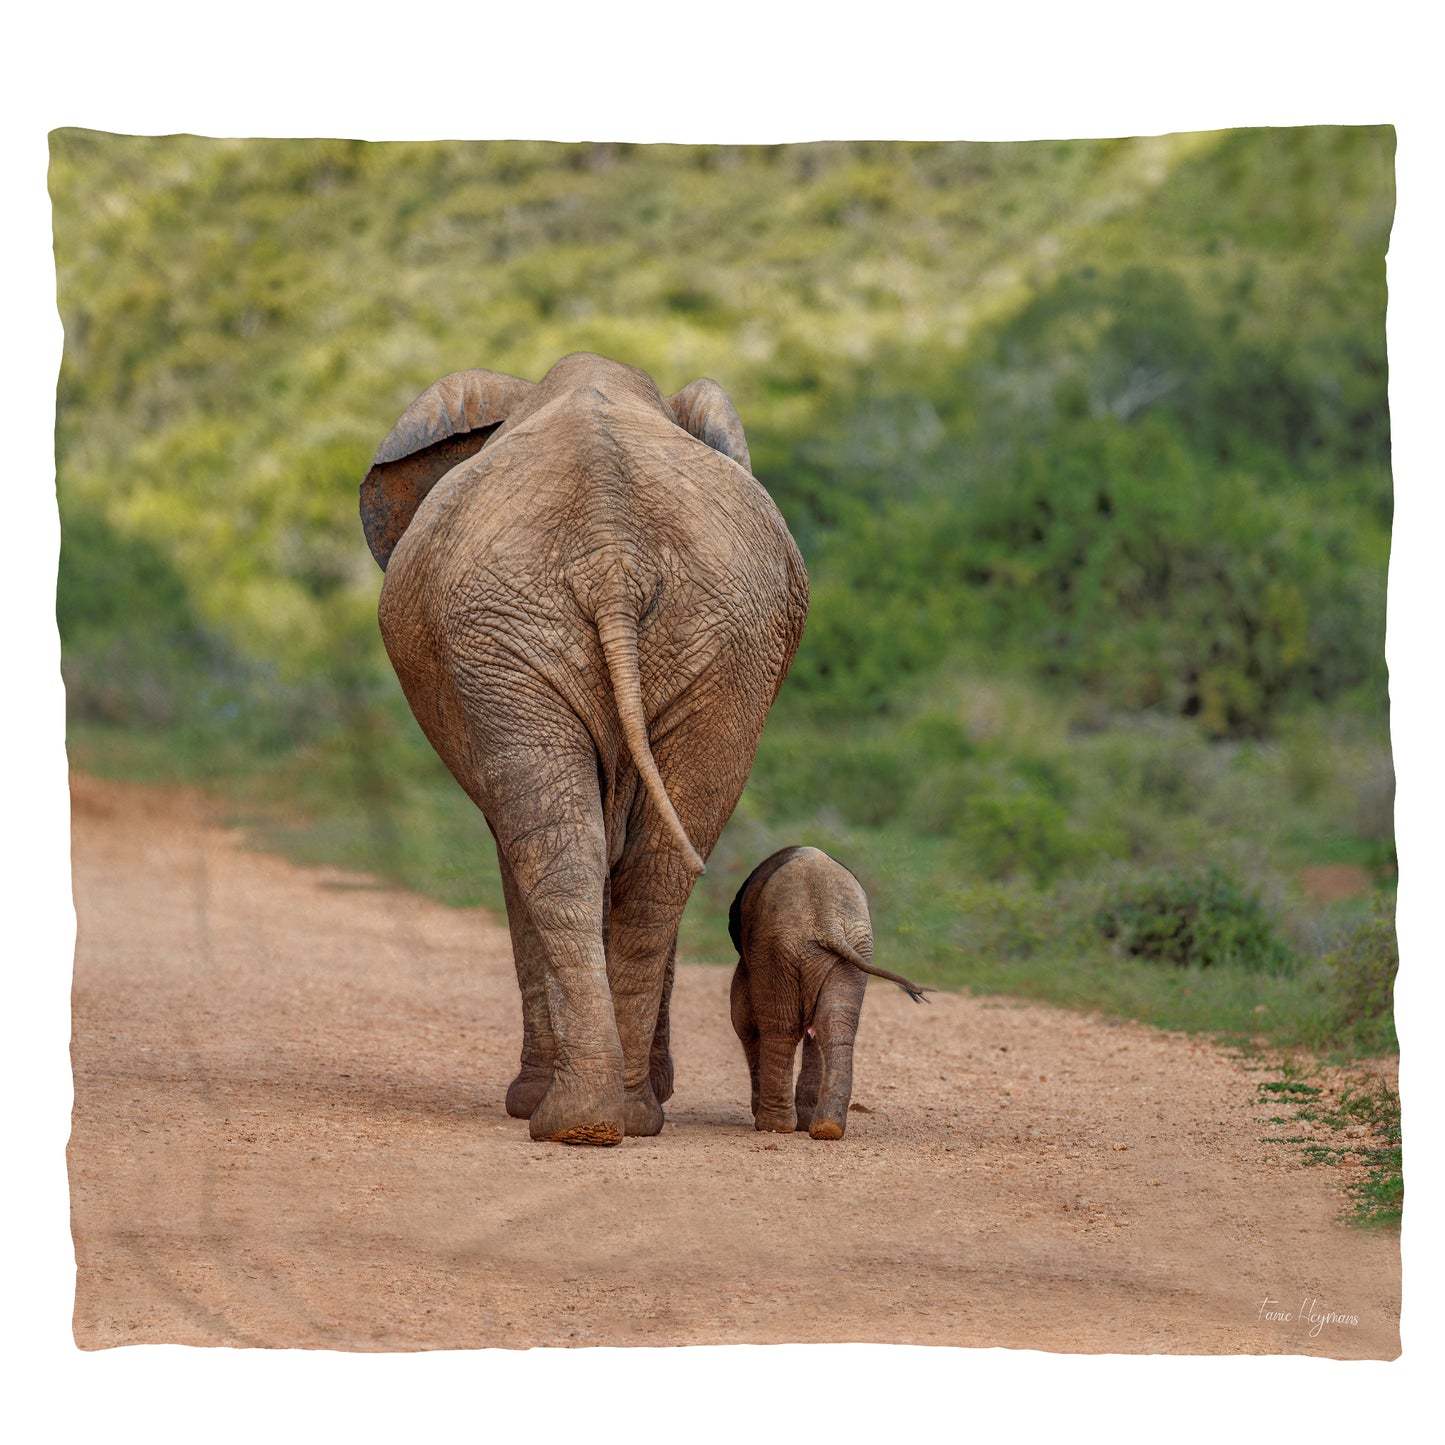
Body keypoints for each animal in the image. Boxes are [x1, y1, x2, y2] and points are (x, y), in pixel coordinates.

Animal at [361, 352, 809, 1145]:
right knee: (646, 859)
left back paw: (575, 1117)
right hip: (698, 641)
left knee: (558, 849)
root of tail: (612, 553)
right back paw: (615, 1116)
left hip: (535, 636)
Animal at [728, 846, 928, 1139]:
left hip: (777, 946)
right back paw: (826, 1129)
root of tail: (827, 920)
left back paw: (774, 1126)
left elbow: (743, 1015)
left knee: (781, 1027)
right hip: (854, 946)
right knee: (834, 1024)